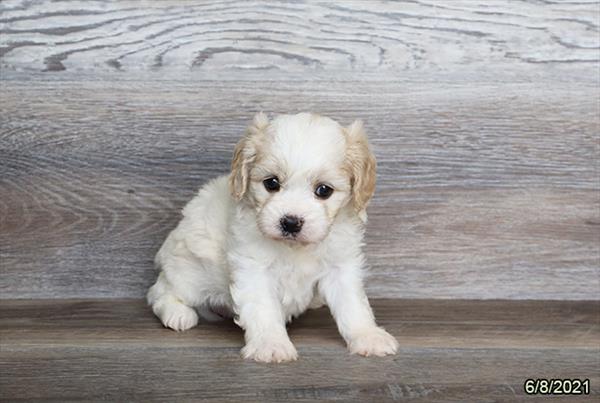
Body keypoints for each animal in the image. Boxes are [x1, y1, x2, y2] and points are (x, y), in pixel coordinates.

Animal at [146, 113, 398, 362]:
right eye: (272, 183)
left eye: (324, 190)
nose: (291, 222)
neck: (295, 248)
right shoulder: (253, 268)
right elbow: (263, 308)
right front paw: (270, 344)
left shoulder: (341, 266)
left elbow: (353, 305)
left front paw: (368, 336)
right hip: (190, 272)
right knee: (160, 291)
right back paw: (177, 313)